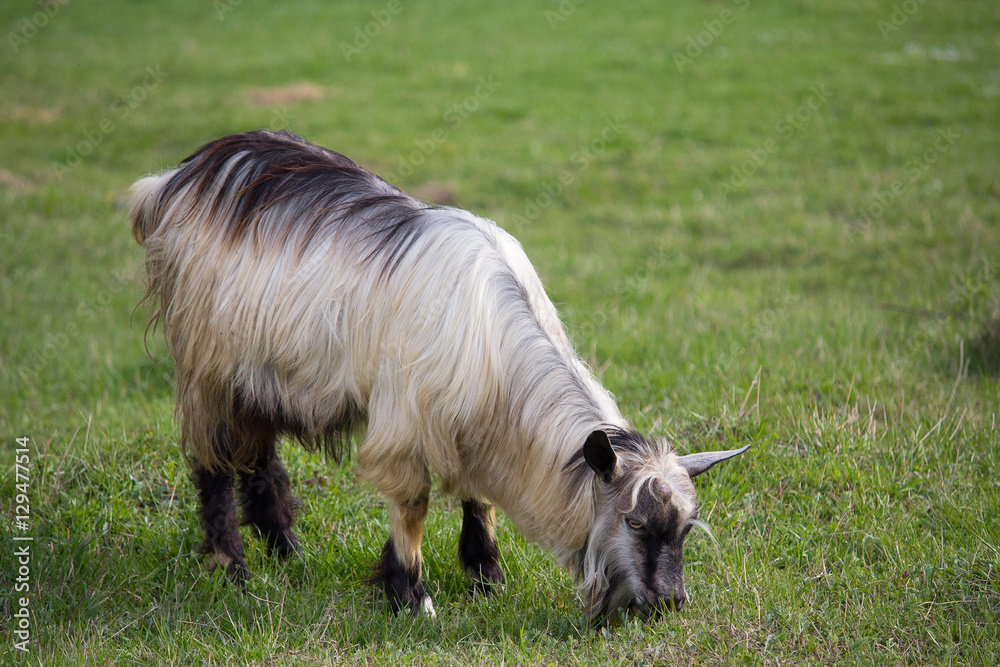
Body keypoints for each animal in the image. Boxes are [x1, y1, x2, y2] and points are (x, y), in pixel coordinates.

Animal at [128, 130, 749, 620]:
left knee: (258, 457)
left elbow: (480, 499)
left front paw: (487, 578)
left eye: (685, 528)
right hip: (207, 364)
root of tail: (176, 177)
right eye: (635, 524)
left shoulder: (473, 425)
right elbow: (413, 505)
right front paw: (410, 596)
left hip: (262, 375)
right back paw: (229, 566)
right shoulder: (405, 426)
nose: (668, 604)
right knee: (211, 458)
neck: (496, 346)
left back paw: (288, 554)